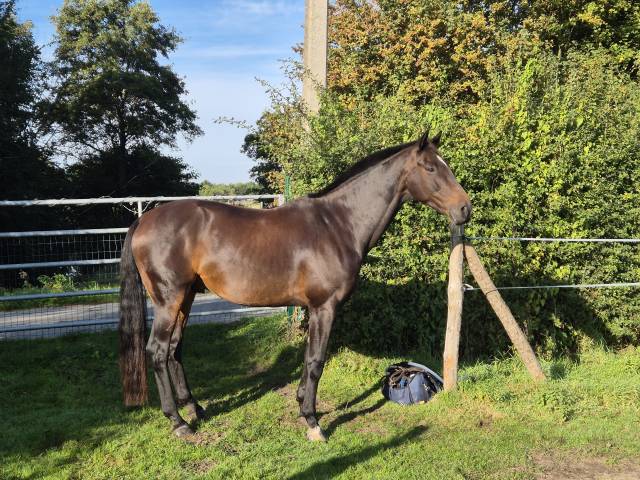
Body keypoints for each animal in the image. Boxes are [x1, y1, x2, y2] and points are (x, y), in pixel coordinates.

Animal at [118, 130, 471, 441]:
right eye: (430, 167)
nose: (465, 208)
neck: (339, 224)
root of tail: (144, 220)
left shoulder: (312, 309)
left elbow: (308, 359)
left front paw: (303, 405)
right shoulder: (324, 307)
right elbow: (316, 361)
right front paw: (313, 421)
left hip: (186, 297)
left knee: (175, 349)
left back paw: (194, 409)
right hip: (169, 299)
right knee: (158, 351)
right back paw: (178, 422)